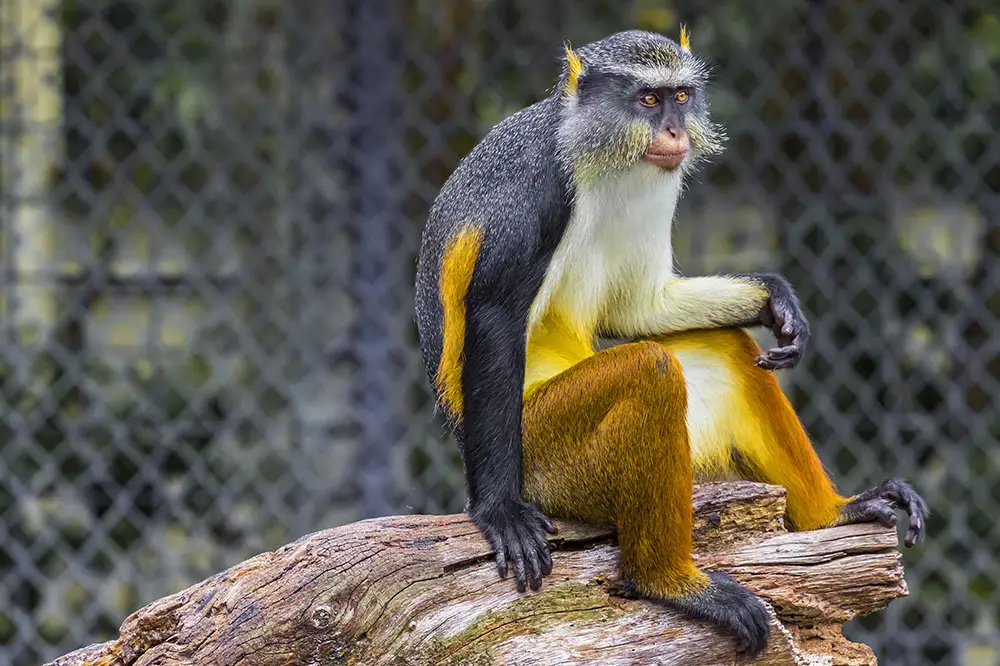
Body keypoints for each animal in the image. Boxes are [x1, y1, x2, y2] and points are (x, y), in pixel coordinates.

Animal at [410, 28, 924, 656]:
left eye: (680, 96)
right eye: (648, 101)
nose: (675, 132)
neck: (596, 155)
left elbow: (638, 305)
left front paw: (775, 299)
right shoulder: (538, 190)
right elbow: (493, 316)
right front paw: (498, 512)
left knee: (727, 350)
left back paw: (836, 515)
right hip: (547, 455)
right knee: (648, 370)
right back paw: (668, 581)